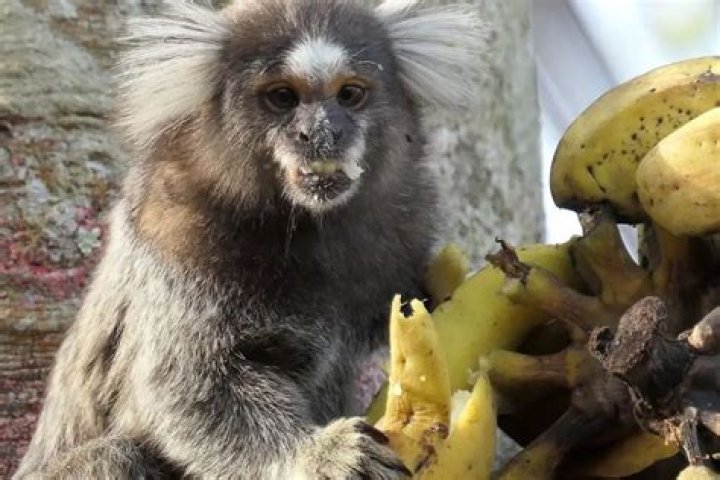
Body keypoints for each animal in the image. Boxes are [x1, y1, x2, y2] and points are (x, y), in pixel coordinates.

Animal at [14, 0, 487, 478]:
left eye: (350, 93)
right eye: (282, 97)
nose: (321, 133)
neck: (305, 227)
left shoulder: (402, 231)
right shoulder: (177, 244)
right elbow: (191, 386)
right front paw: (320, 453)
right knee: (113, 456)